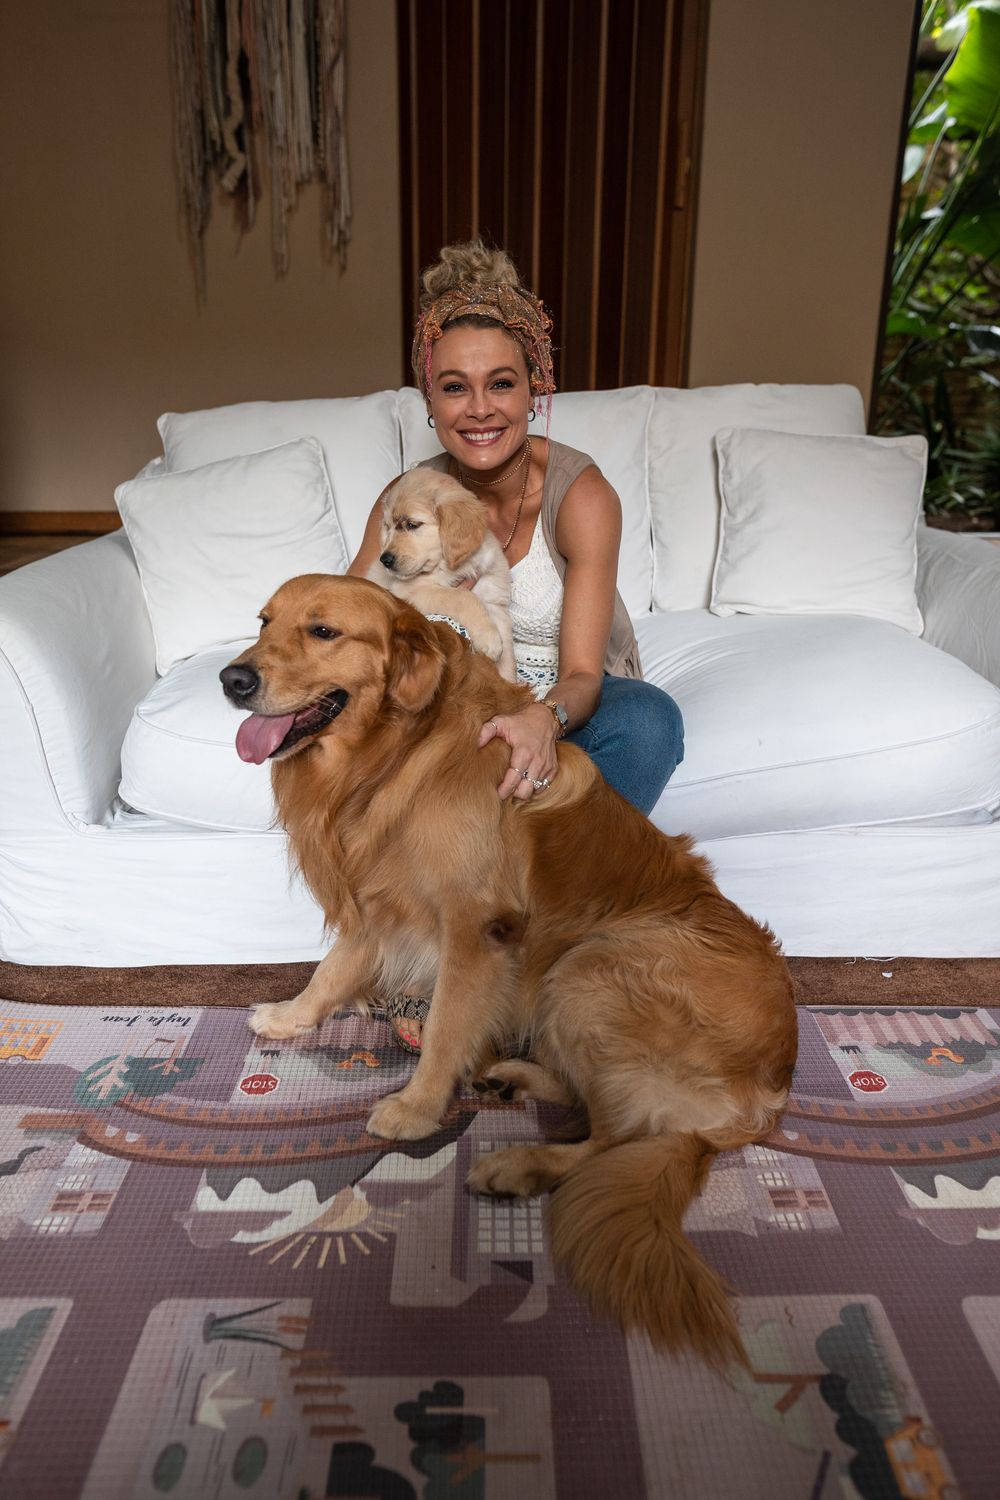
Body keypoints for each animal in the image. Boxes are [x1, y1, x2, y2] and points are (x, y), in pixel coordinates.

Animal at [220, 575, 797, 1366]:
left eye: (323, 631)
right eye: (263, 622)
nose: (231, 680)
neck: (405, 750)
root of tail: (767, 1091)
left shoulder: (475, 927)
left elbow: (445, 1028)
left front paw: (416, 1107)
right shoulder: (381, 896)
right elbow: (332, 970)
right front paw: (289, 1017)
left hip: (593, 965)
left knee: (615, 1141)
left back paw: (517, 1165)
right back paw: (509, 1077)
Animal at [366, 468, 517, 681]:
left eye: (412, 524)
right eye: (388, 527)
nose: (385, 560)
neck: (448, 565)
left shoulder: (494, 601)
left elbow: (508, 659)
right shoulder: (410, 594)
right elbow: (464, 596)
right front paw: (489, 639)